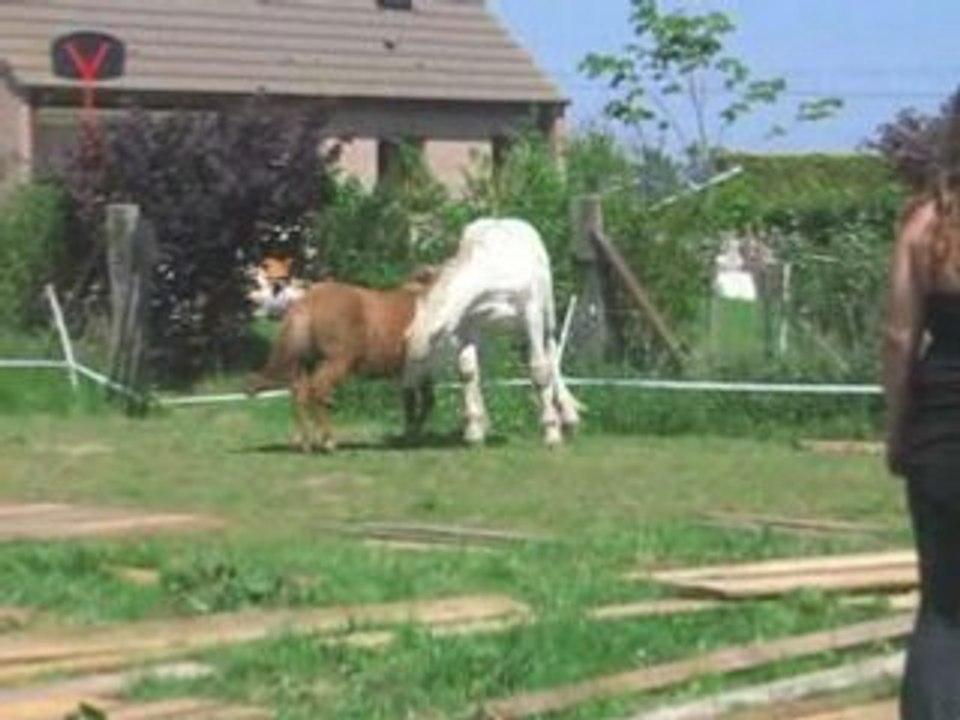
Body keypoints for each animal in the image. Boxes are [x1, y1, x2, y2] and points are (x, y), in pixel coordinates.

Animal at [246, 268, 438, 452]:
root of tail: (309, 301)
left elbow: (412, 402)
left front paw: (408, 436)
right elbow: (425, 401)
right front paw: (412, 436)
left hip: (308, 364)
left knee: (301, 393)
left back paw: (306, 443)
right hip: (337, 363)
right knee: (319, 390)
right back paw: (328, 443)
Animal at [404, 217, 581, 447]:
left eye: (422, 358)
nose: (408, 389)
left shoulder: (531, 316)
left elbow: (540, 370)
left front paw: (551, 432)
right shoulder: (469, 326)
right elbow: (468, 371)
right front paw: (473, 431)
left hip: (546, 315)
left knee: (551, 353)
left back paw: (569, 417)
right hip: (490, 335)